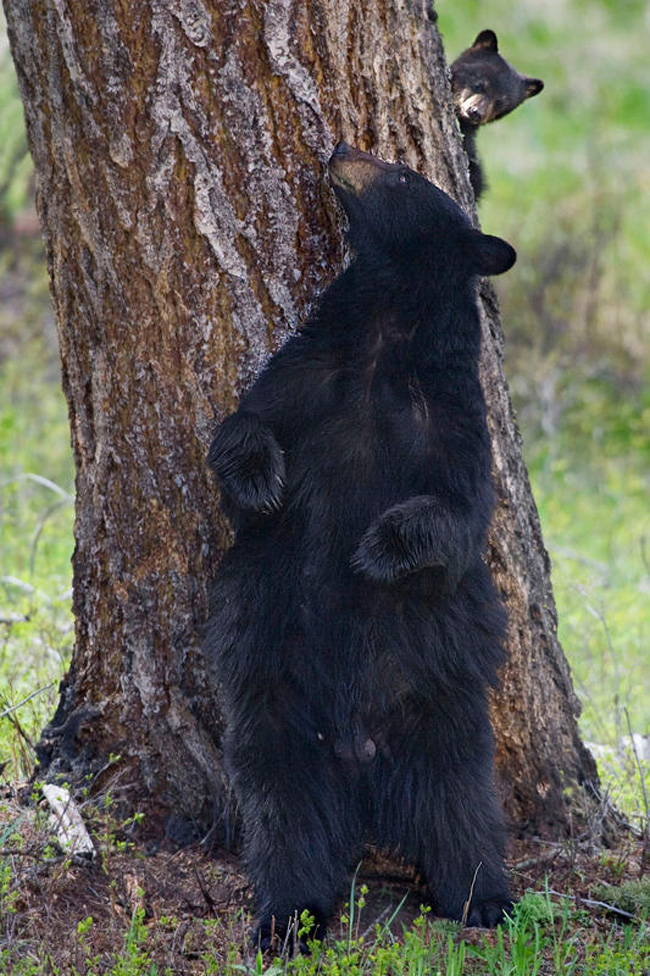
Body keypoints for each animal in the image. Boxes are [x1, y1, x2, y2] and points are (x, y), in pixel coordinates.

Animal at [204, 142, 516, 947]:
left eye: (403, 174)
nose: (342, 147)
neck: (384, 332)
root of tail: (359, 760)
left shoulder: (451, 415)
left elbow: (458, 514)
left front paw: (379, 548)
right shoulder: (308, 376)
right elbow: (245, 430)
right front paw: (260, 478)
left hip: (443, 715)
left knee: (463, 808)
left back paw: (486, 899)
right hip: (276, 715)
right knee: (283, 818)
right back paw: (286, 917)